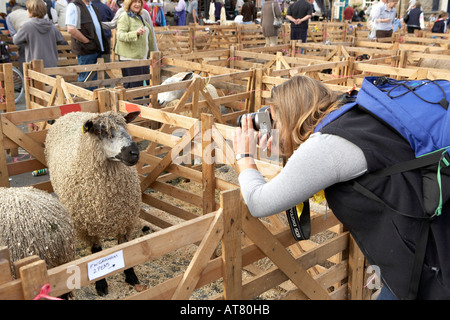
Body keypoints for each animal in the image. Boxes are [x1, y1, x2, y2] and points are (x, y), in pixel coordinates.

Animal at [44, 111, 142, 296]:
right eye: (101, 131)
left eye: (125, 127)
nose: (134, 153)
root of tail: (69, 113)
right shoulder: (88, 227)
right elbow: (96, 254)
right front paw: (101, 285)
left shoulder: (125, 220)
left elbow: (126, 248)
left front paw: (131, 276)